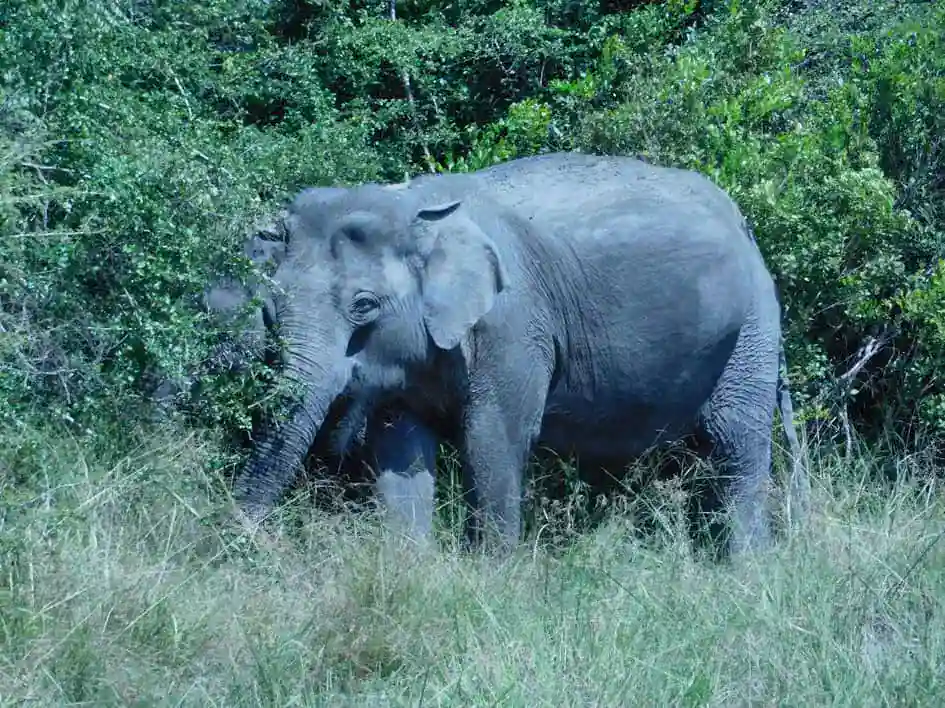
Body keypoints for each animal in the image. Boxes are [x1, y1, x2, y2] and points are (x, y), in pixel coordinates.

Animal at [229, 151, 809, 557]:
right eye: (271, 307)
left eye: (364, 305)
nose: (253, 544)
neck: (414, 208)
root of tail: (743, 221)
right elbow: (400, 451)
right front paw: (410, 566)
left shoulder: (514, 325)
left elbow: (496, 437)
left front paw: (491, 575)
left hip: (755, 325)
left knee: (735, 443)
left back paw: (747, 569)